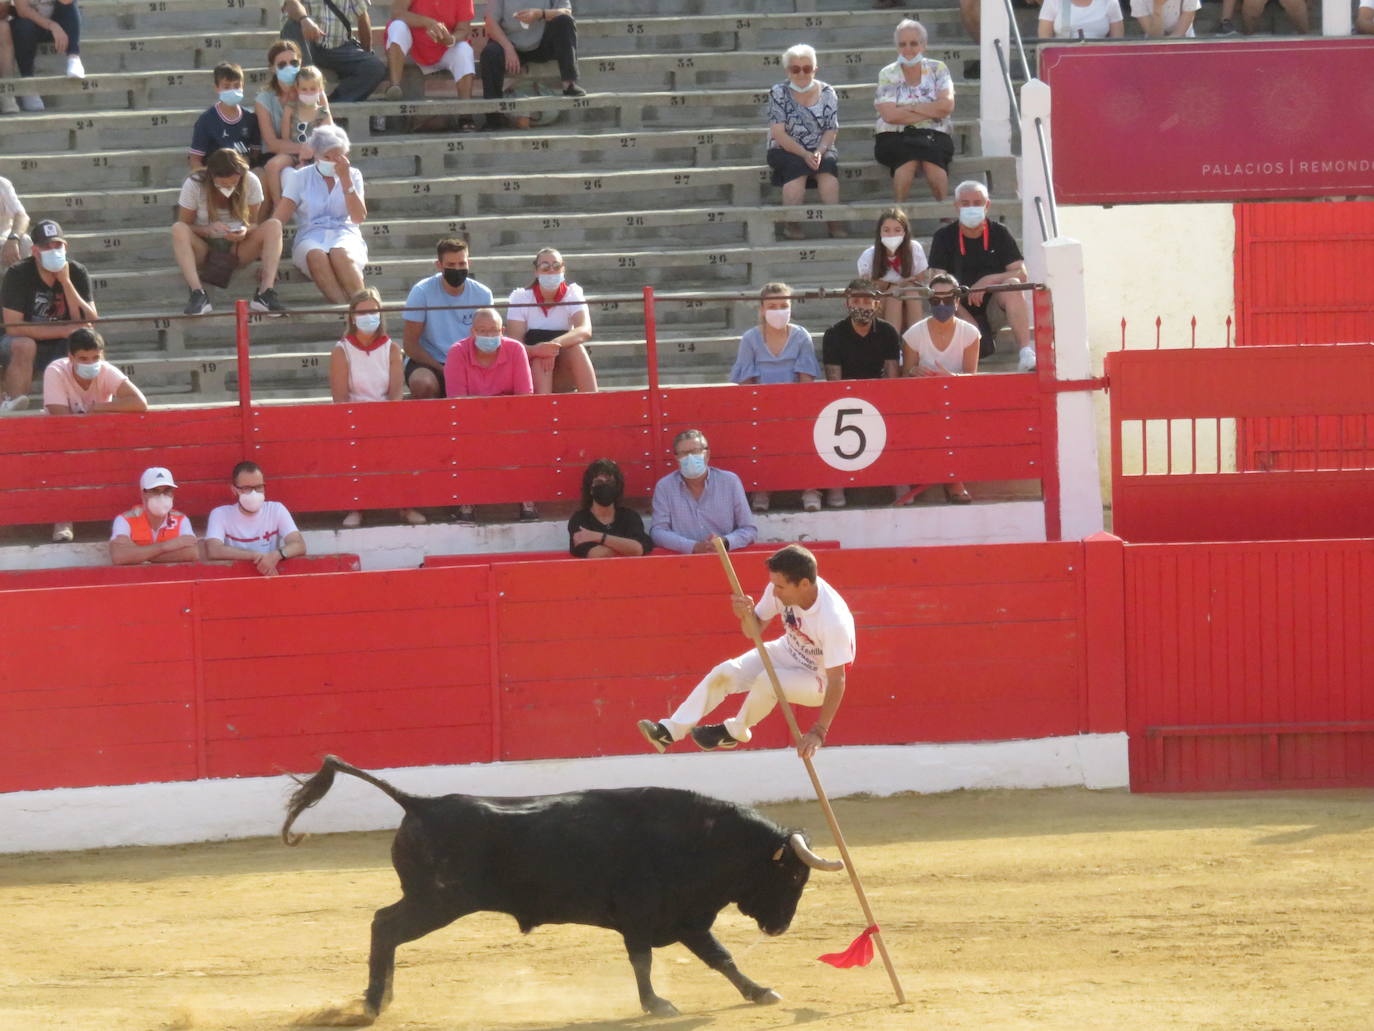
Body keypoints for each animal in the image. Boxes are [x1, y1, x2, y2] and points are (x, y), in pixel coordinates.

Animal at [280, 753, 840, 1022]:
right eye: (794, 874)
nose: (779, 926)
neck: (699, 841)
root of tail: (420, 802)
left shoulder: (686, 920)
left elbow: (721, 958)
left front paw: (760, 992)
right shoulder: (641, 919)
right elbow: (643, 961)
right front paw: (657, 1005)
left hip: (431, 900)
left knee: (385, 926)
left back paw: (379, 999)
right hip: (436, 901)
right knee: (385, 926)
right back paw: (375, 1004)